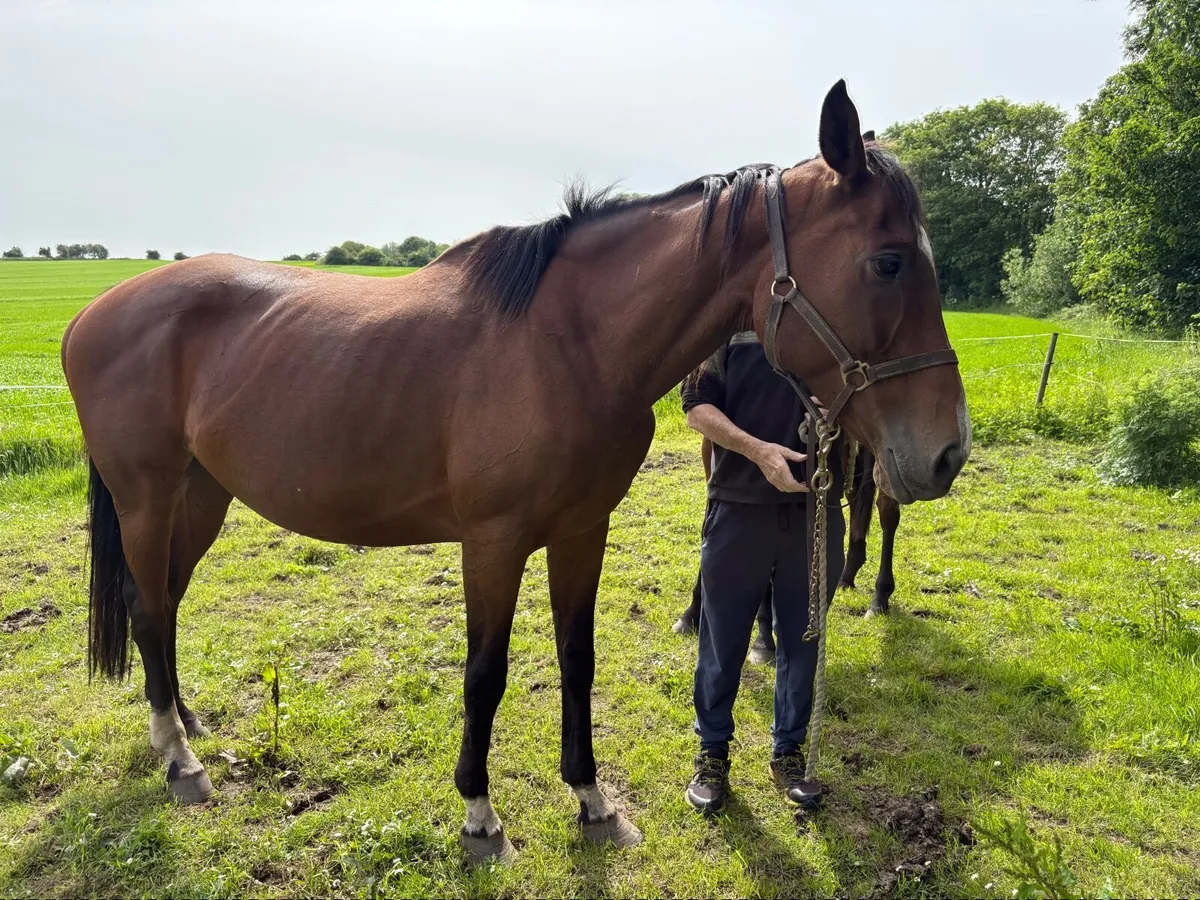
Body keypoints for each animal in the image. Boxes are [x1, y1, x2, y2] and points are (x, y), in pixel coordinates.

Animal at [671, 440, 903, 662]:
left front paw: (763, 641)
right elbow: (709, 521)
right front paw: (691, 614)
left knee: (887, 511)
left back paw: (879, 597)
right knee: (856, 494)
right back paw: (847, 575)